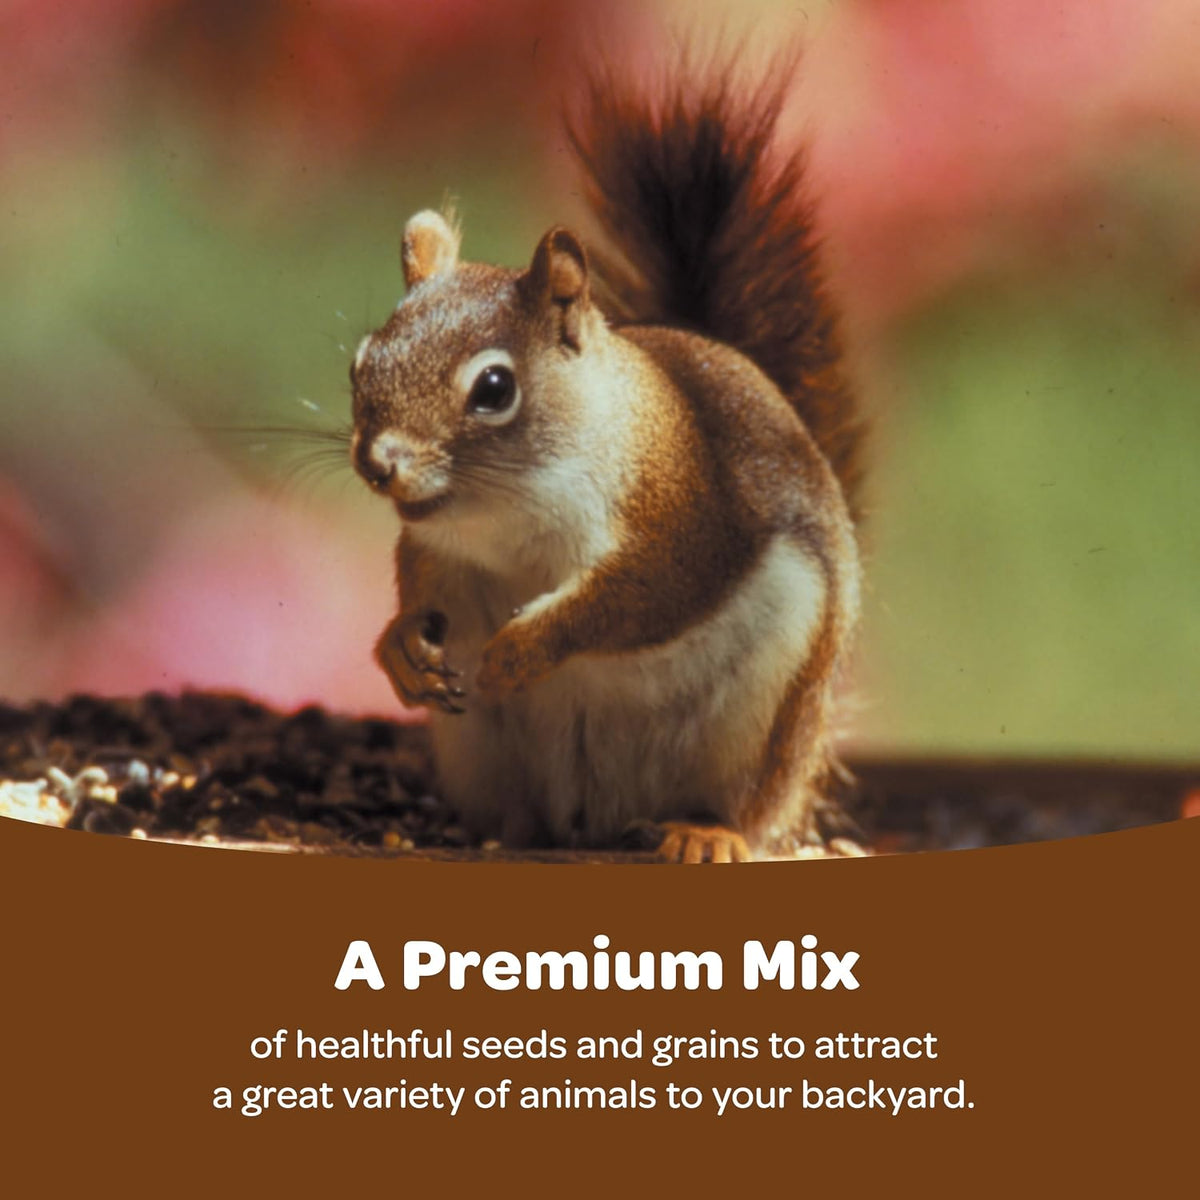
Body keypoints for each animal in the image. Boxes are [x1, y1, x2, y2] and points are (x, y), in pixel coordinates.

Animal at [349, 62, 865, 862]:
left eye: (494, 389)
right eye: (361, 361)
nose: (378, 464)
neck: (509, 509)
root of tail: (593, 818)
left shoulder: (682, 514)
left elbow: (636, 597)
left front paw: (522, 649)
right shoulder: (438, 548)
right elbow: (419, 587)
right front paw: (401, 644)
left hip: (760, 729)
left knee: (742, 806)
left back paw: (702, 832)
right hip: (481, 751)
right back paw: (500, 830)